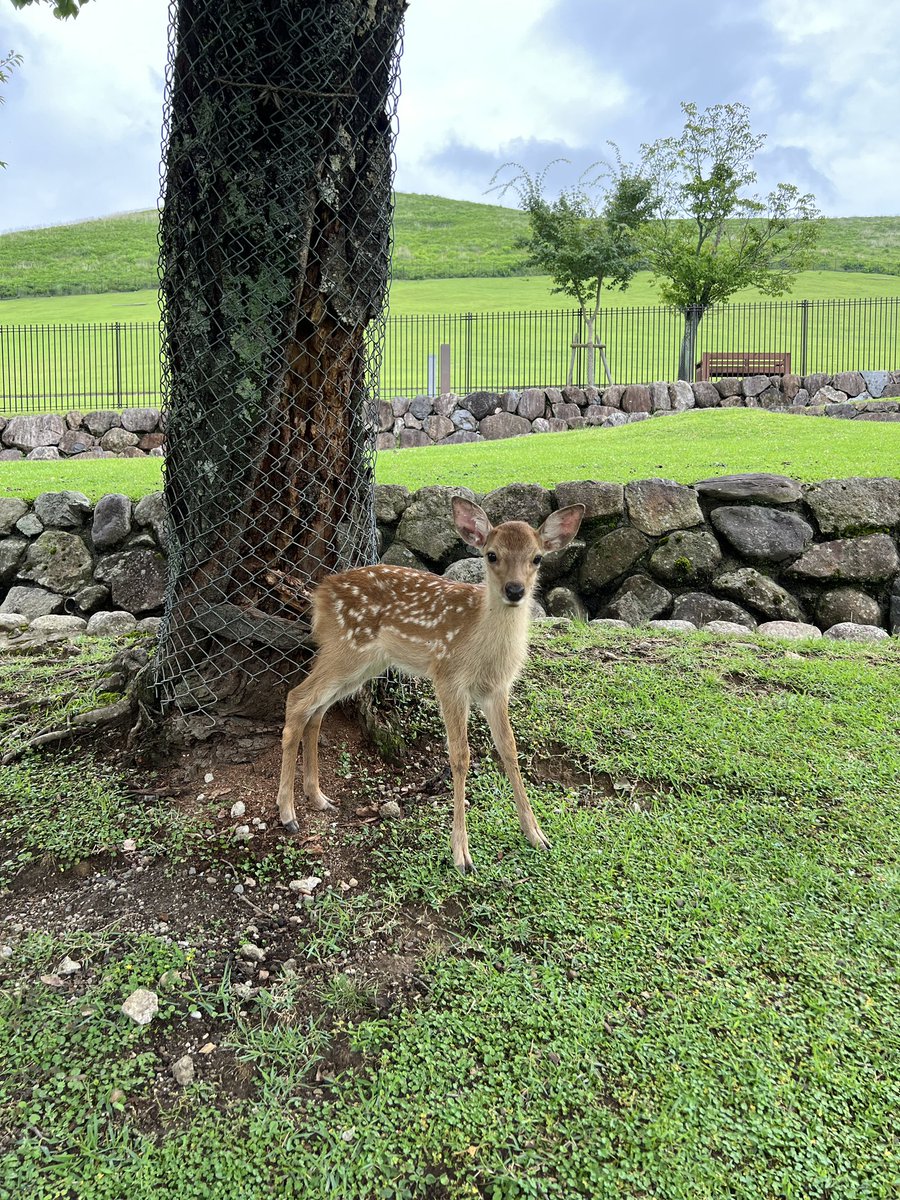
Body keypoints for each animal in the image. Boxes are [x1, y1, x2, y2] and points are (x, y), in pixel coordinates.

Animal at [276, 496, 585, 873]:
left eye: (537, 557)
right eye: (491, 555)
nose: (515, 590)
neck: (482, 644)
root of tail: (319, 593)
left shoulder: (497, 689)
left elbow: (509, 748)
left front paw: (536, 834)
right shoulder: (448, 677)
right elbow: (460, 755)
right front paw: (461, 854)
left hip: (364, 663)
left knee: (316, 711)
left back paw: (318, 797)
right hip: (345, 649)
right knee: (297, 698)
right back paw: (287, 813)